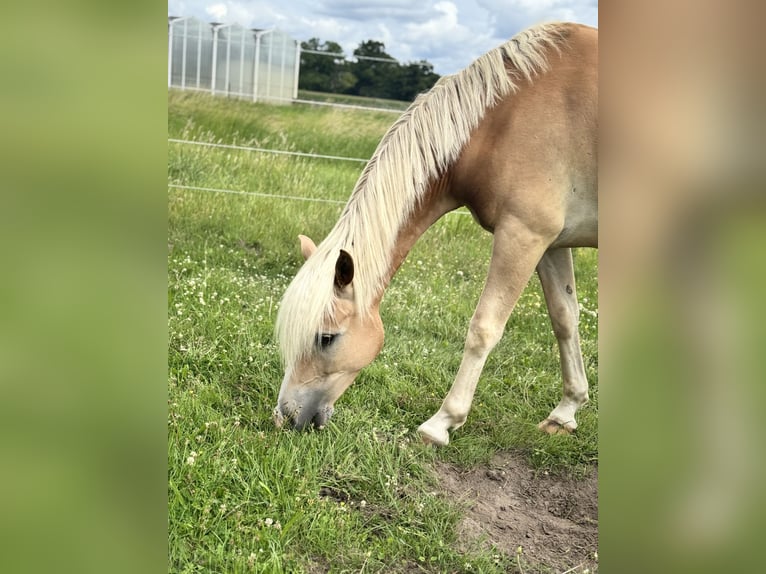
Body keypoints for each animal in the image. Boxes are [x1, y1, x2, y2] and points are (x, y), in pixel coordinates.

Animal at [273, 22, 597, 446]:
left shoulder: (523, 235)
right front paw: (566, 412)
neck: (502, 121)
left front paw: (442, 422)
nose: (285, 415)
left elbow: (483, 328)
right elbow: (565, 319)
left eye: (325, 338)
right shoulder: (550, 244)